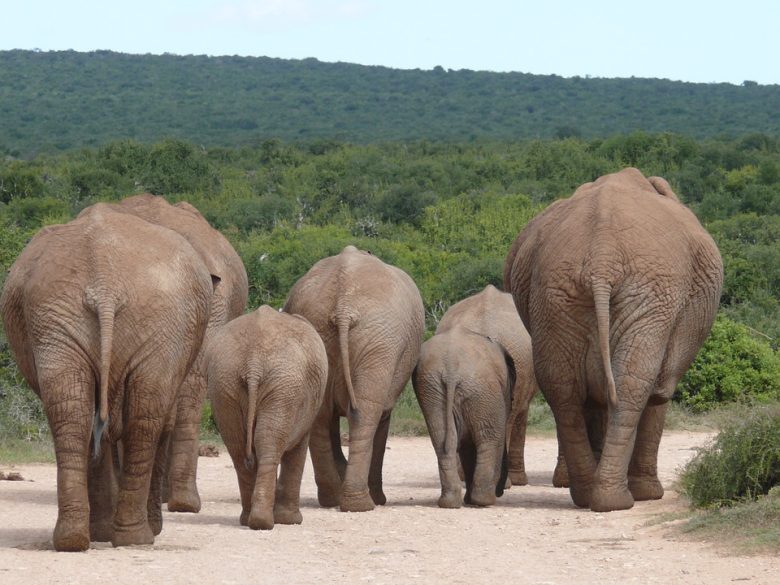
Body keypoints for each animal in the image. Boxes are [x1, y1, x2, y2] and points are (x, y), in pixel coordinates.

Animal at [0, 203, 214, 550]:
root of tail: (104, 281)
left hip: (57, 314)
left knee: (72, 410)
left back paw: (75, 539)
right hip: (155, 318)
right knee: (145, 417)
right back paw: (136, 538)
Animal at [205, 306, 327, 530]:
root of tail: (253, 362)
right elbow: (298, 449)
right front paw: (291, 521)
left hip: (224, 383)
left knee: (239, 448)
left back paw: (250, 520)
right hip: (283, 385)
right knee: (268, 444)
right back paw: (264, 522)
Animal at [283, 245, 425, 512]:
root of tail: (344, 307)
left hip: (326, 332)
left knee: (322, 416)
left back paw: (333, 500)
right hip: (380, 343)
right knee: (366, 415)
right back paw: (362, 504)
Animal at [412, 327, 515, 507]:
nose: (501, 491)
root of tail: (451, 369)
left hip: (432, 387)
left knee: (442, 439)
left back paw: (449, 503)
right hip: (481, 387)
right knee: (489, 438)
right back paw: (484, 501)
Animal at [504, 167, 723, 512]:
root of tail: (601, 258)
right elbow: (659, 390)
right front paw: (649, 495)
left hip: (555, 295)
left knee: (563, 387)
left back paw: (589, 496)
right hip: (650, 293)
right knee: (635, 383)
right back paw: (619, 500)